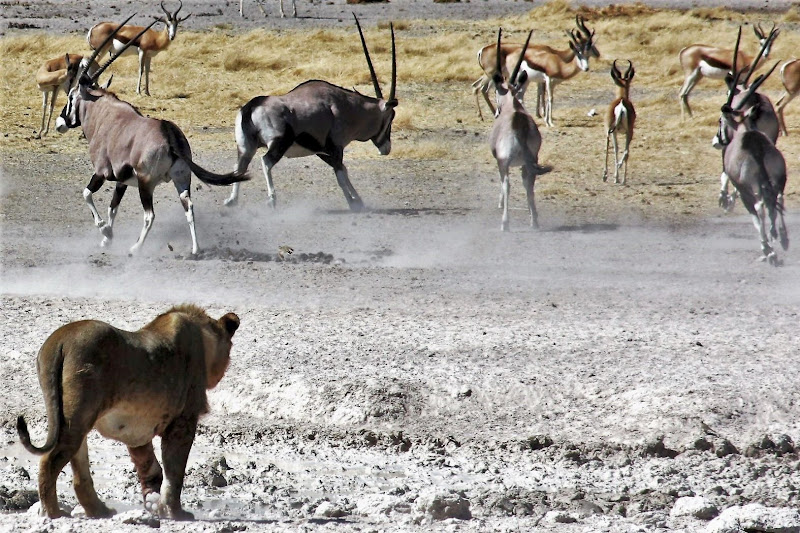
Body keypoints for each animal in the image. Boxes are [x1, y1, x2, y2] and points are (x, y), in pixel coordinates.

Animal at [17, 304, 239, 520]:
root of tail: (60, 339)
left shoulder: (136, 432)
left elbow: (150, 468)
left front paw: (153, 504)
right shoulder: (183, 421)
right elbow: (174, 473)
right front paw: (176, 513)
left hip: (74, 421)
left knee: (80, 476)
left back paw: (100, 511)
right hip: (77, 417)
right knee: (49, 462)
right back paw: (52, 513)